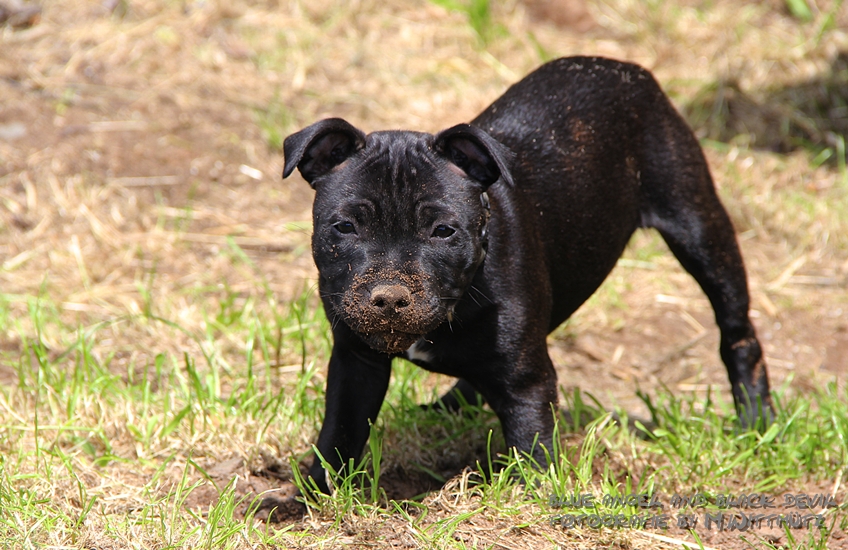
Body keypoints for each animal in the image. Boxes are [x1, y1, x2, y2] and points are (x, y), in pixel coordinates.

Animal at [282, 57, 772, 496]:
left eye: (444, 231)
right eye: (345, 227)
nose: (388, 296)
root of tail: (626, 68)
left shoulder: (527, 383)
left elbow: (531, 443)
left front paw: (529, 497)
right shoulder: (355, 361)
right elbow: (338, 436)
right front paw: (311, 498)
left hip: (699, 227)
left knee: (738, 334)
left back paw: (757, 423)